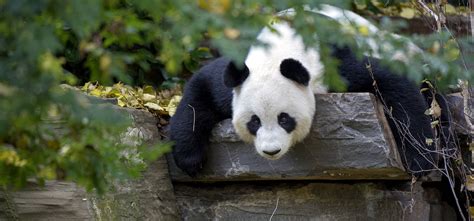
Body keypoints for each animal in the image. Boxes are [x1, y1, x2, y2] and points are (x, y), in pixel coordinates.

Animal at [169, 5, 436, 178]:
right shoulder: (237, 74)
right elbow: (199, 91)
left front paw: (420, 160)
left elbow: (391, 82)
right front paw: (190, 159)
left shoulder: (332, 63)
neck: (277, 51)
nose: (271, 151)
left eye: (284, 119)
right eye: (254, 122)